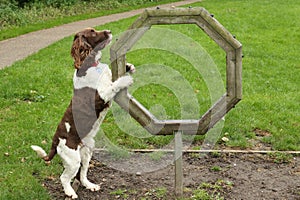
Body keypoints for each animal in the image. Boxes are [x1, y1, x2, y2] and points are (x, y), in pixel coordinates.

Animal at [31, 28, 135, 198]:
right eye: (92, 32)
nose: (109, 30)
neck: (91, 65)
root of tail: (55, 141)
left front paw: (129, 66)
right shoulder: (101, 96)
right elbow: (113, 86)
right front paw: (125, 80)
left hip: (87, 151)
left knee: (82, 174)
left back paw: (90, 185)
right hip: (72, 159)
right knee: (64, 177)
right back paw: (70, 192)